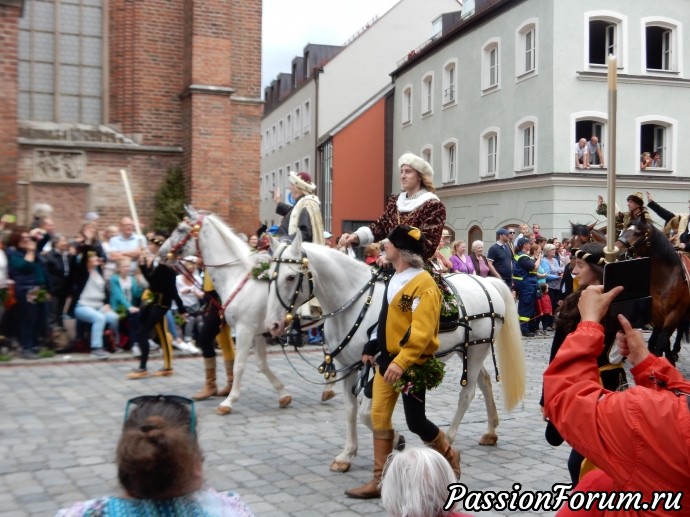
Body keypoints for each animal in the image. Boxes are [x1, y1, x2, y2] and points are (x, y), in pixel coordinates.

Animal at [159, 208, 292, 414]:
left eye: (180, 229)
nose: (161, 252)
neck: (237, 277)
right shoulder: (258, 332)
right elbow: (261, 364)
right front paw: (283, 394)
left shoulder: (245, 330)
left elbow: (239, 365)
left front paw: (229, 401)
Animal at [264, 234, 520, 472]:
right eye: (270, 276)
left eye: (290, 277)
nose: (273, 326)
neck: (354, 304)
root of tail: (485, 282)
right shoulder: (349, 367)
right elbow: (350, 410)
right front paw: (347, 455)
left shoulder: (376, 366)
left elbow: (366, 413)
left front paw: (397, 439)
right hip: (467, 349)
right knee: (485, 381)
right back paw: (490, 431)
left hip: (476, 350)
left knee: (467, 394)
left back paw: (448, 439)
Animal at [612, 218, 688, 362]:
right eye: (624, 230)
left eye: (637, 233)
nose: (617, 252)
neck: (666, 279)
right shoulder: (656, 315)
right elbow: (662, 342)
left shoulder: (674, 314)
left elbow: (661, 342)